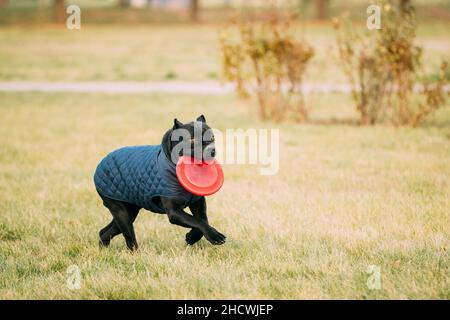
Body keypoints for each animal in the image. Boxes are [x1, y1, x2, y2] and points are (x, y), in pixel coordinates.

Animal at [96, 115, 227, 250]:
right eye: (192, 140)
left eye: (212, 138)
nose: (212, 150)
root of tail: (102, 163)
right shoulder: (174, 212)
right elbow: (197, 221)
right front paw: (215, 237)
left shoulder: (198, 203)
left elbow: (202, 220)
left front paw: (192, 237)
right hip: (122, 213)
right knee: (130, 240)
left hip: (129, 211)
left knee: (105, 232)